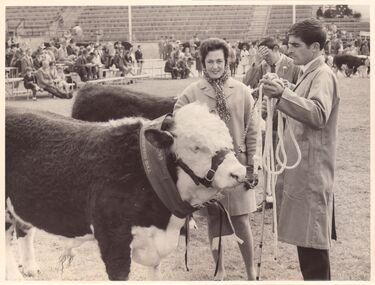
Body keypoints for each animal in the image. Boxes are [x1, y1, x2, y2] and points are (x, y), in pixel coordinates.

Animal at [5, 102, 250, 280]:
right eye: (196, 147)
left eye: (227, 138)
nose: (238, 172)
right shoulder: (113, 242)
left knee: (21, 229)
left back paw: (29, 268)